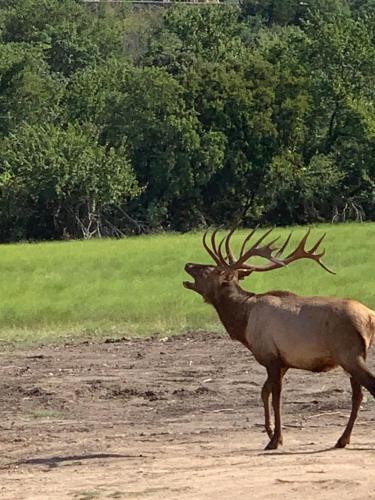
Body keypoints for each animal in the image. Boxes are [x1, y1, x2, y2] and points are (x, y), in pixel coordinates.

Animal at [184, 229, 375, 452]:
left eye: (210, 270)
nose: (188, 264)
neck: (243, 322)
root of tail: (370, 316)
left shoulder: (270, 356)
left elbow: (276, 397)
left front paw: (275, 439)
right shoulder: (283, 361)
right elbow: (264, 392)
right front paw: (271, 433)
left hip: (349, 354)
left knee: (369, 387)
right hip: (353, 357)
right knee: (358, 395)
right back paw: (342, 439)